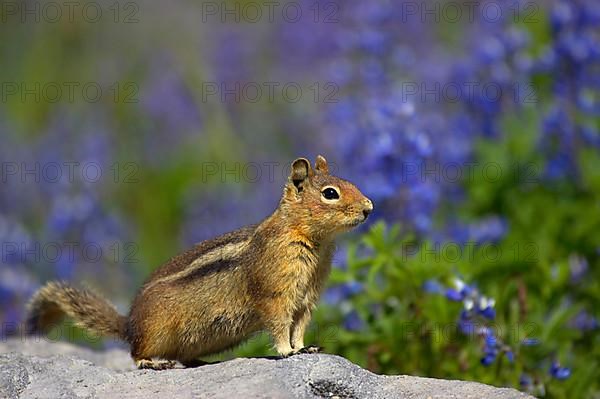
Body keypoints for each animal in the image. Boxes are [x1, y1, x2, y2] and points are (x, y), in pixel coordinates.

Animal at [28, 156, 376, 372]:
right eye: (330, 193)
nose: (369, 207)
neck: (310, 241)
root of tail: (128, 325)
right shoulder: (276, 295)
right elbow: (279, 326)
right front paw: (287, 351)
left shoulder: (306, 300)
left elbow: (299, 327)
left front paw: (305, 348)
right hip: (156, 331)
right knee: (135, 353)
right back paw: (152, 362)